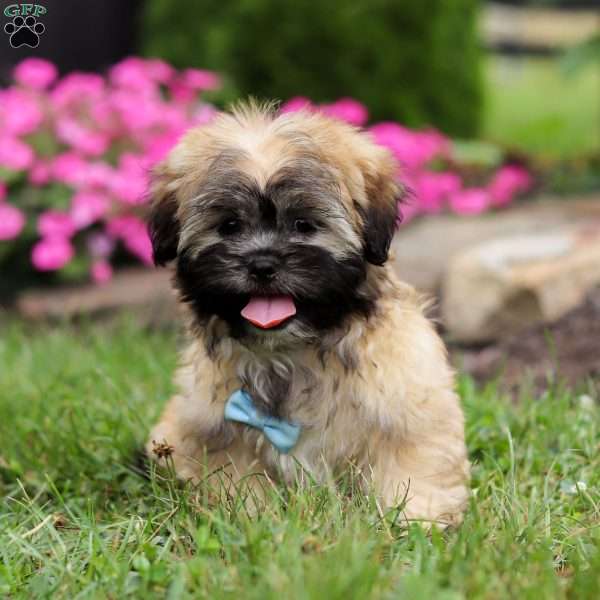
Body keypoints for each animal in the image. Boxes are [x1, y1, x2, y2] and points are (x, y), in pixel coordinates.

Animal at [145, 102, 468, 524]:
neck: (292, 351)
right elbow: (236, 478)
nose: (262, 264)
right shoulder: (212, 426)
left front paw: (417, 519)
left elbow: (413, 464)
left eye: (304, 224)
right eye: (229, 225)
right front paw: (249, 517)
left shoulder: (409, 406)